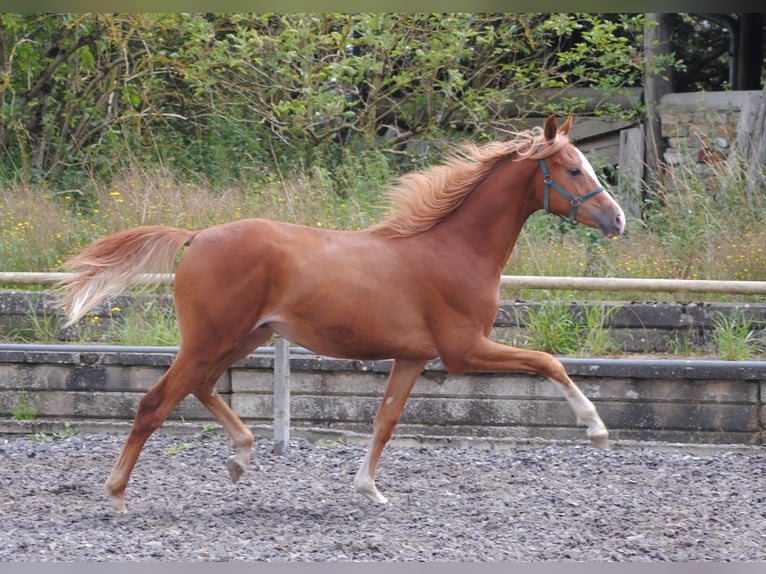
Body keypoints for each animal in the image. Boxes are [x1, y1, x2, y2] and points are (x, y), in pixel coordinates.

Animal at [58, 113, 624, 512]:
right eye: (573, 169)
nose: (617, 219)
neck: (454, 250)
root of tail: (196, 237)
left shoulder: (413, 357)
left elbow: (386, 420)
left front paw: (368, 489)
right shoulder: (463, 351)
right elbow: (548, 361)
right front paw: (596, 429)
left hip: (244, 337)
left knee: (200, 386)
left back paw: (240, 455)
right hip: (211, 337)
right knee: (155, 402)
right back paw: (117, 494)